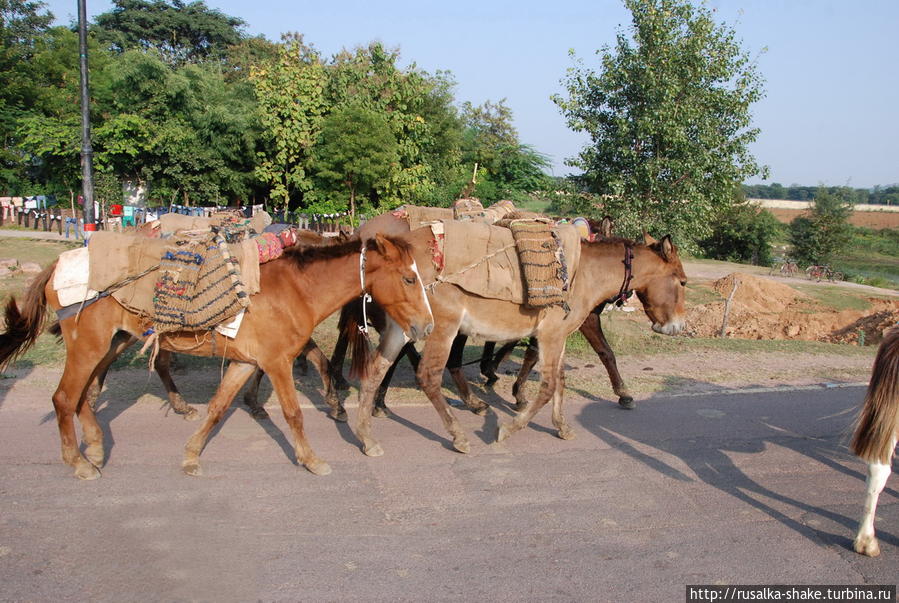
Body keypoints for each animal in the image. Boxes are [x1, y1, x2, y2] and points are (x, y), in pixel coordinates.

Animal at [0, 234, 436, 478]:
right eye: (408, 278)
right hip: (89, 346)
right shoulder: (276, 363)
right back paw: (78, 462)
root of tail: (60, 263)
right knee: (64, 398)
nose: (427, 326)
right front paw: (312, 460)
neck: (294, 290)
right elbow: (293, 414)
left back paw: (94, 446)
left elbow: (217, 408)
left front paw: (191, 456)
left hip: (108, 343)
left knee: (84, 395)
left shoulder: (245, 363)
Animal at [354, 226, 688, 458]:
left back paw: (367, 436)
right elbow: (550, 385)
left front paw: (562, 426)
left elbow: (560, 380)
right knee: (428, 375)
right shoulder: (551, 335)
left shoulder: (557, 336)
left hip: (402, 328)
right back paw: (458, 435)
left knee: (375, 369)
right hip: (441, 329)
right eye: (683, 281)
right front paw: (508, 428)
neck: (583, 273)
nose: (680, 327)